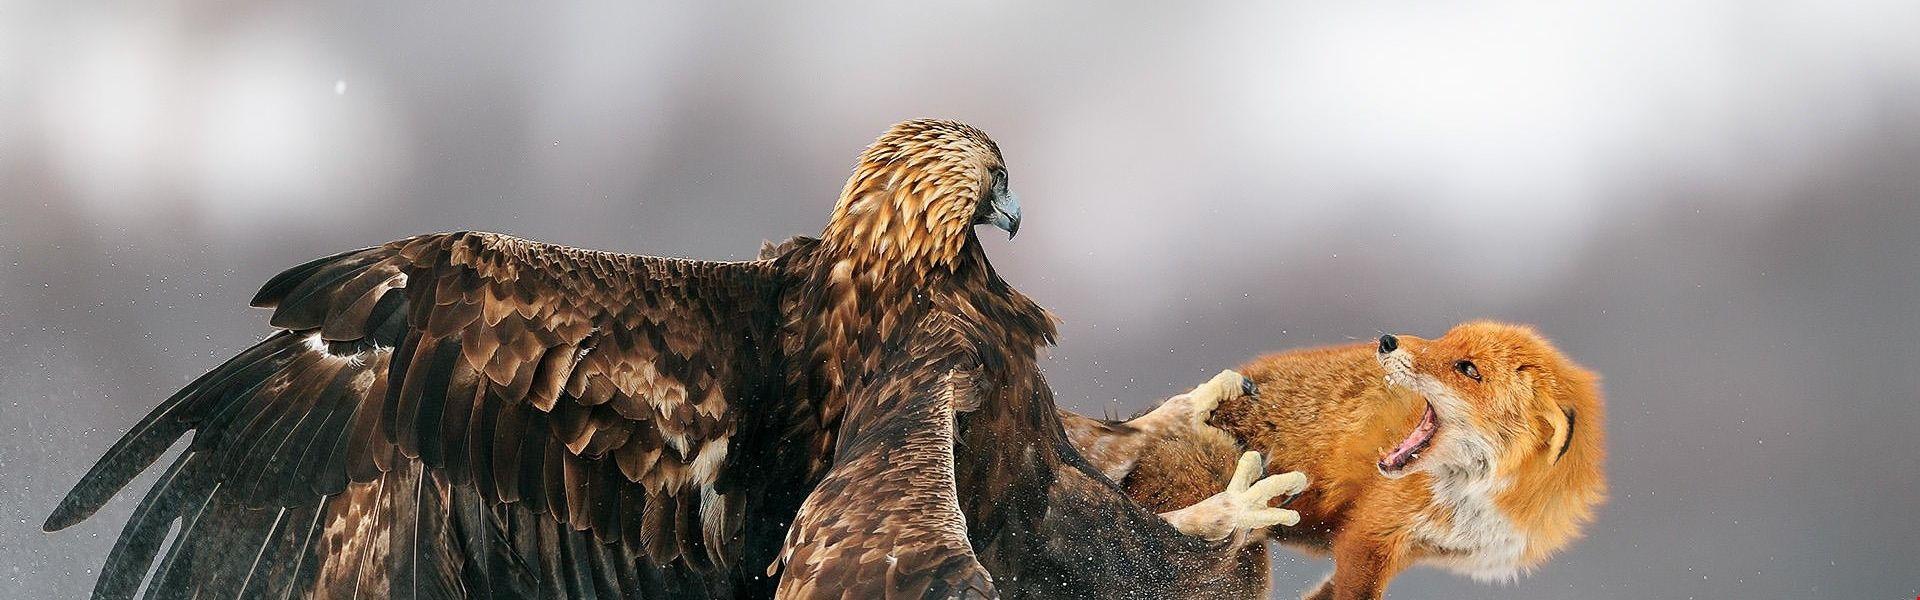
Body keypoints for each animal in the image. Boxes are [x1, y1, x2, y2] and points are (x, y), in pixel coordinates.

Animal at [1064, 321, 1607, 600]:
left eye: (1467, 368)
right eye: (1444, 339)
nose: (1386, 340)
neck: (1478, 502)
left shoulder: (1402, 549)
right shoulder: (1371, 536)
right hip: (1237, 555)